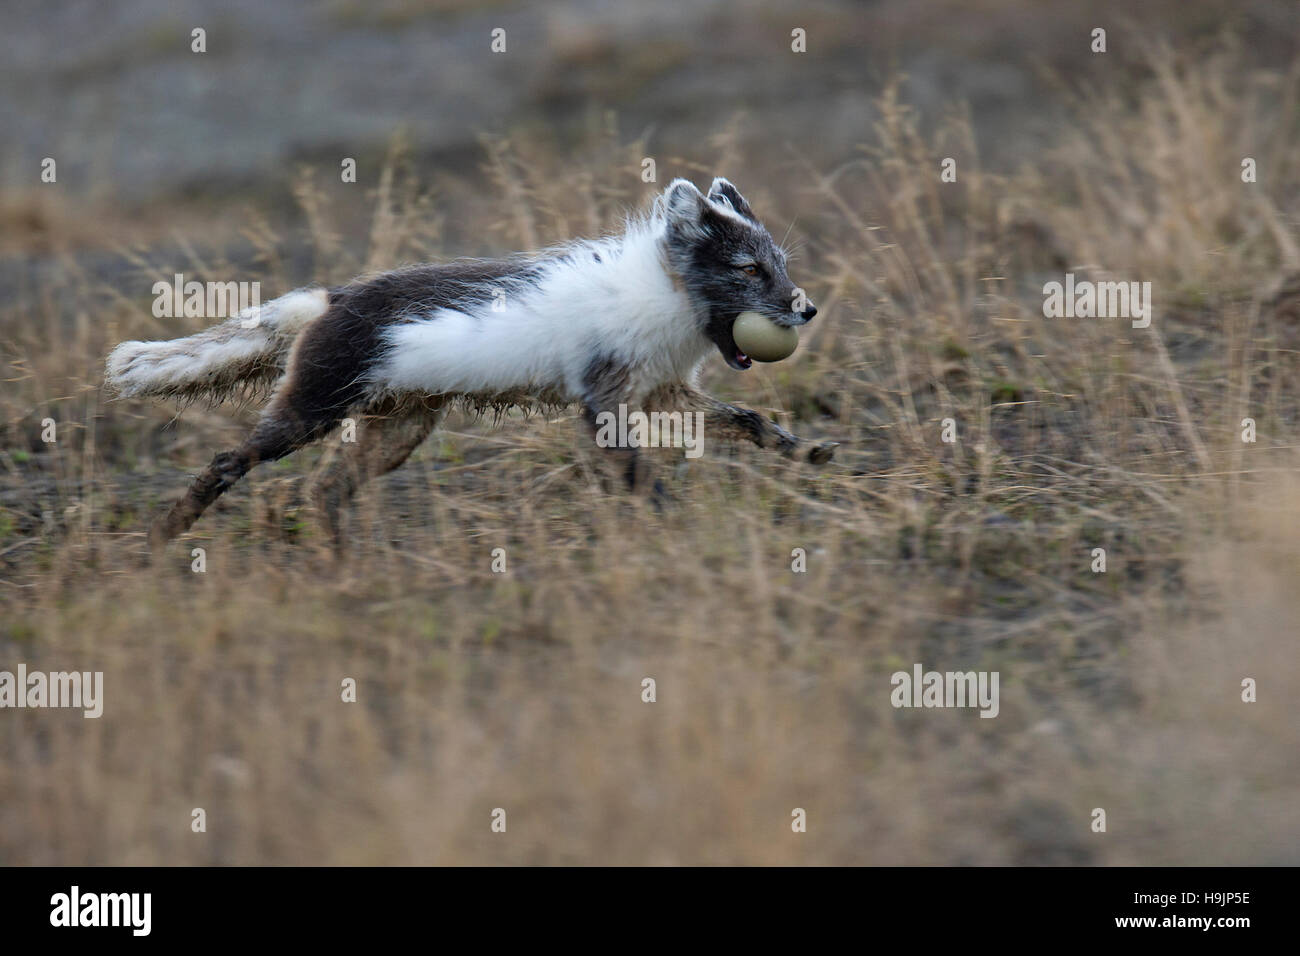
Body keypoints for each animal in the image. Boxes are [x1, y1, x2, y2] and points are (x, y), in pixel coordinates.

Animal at [105, 177, 837, 551]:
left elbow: (746, 418)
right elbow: (633, 471)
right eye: (748, 270)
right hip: (311, 410)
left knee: (324, 490)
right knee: (231, 462)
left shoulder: (660, 391)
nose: (807, 309)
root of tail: (330, 297)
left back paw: (339, 564)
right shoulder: (601, 398)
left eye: (780, 264)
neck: (662, 295)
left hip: (399, 431)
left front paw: (804, 452)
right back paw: (166, 533)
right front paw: (667, 520)